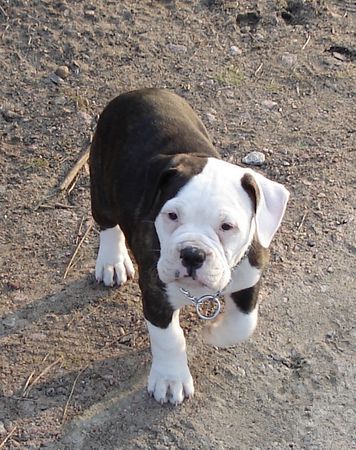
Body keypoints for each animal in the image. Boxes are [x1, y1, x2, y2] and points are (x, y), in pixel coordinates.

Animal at [89, 88, 290, 404]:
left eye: (227, 226)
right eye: (172, 215)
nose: (192, 254)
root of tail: (139, 92)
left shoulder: (249, 277)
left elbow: (244, 324)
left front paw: (214, 333)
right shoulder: (156, 294)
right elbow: (169, 338)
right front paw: (170, 379)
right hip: (101, 181)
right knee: (107, 223)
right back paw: (112, 261)